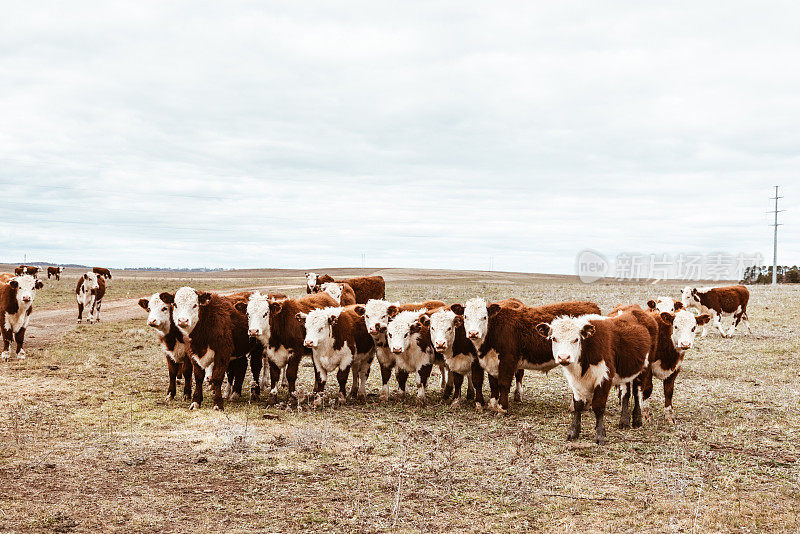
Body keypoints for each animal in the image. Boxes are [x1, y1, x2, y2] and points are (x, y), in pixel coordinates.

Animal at [462, 300, 600, 412]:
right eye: (465, 316)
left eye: (484, 317)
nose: (473, 333)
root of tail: (592, 306)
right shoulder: (492, 361)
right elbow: (493, 384)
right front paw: (492, 404)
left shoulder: (508, 360)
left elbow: (503, 383)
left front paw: (502, 408)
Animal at [536, 314, 656, 448]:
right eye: (554, 338)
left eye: (576, 339)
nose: (564, 357)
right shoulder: (574, 382)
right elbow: (578, 405)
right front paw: (574, 432)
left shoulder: (604, 377)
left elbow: (598, 406)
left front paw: (600, 435)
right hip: (626, 371)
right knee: (626, 393)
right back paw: (624, 421)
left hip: (644, 368)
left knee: (637, 393)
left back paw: (637, 420)